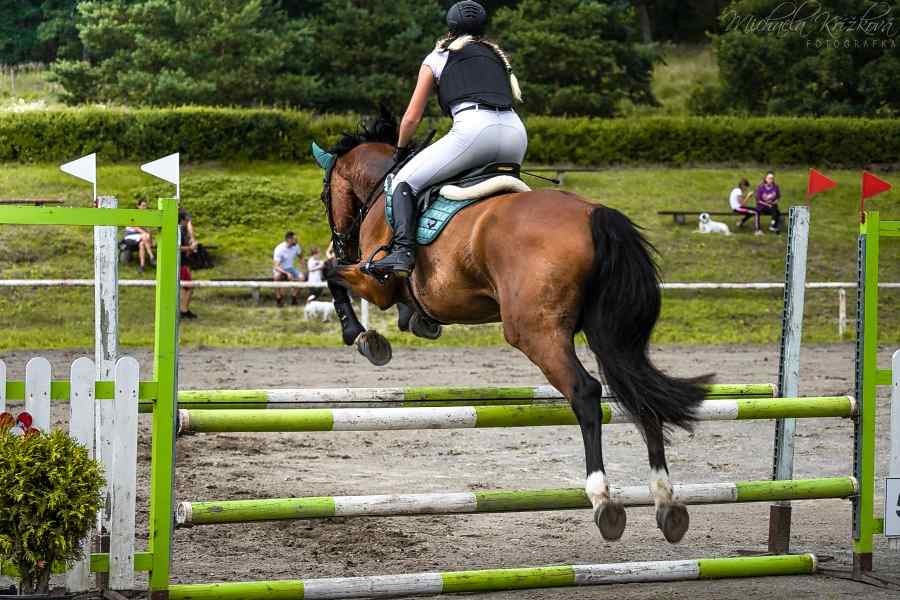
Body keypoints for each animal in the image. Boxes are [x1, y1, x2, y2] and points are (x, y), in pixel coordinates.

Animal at [312, 108, 712, 544]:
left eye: (324, 196)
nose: (340, 243)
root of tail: (595, 215)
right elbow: (387, 297)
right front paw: (414, 320)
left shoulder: (376, 281)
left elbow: (333, 275)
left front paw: (362, 336)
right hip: (611, 334)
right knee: (640, 391)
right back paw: (666, 502)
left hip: (533, 331)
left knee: (586, 392)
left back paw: (603, 499)